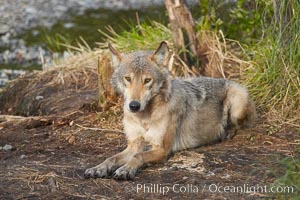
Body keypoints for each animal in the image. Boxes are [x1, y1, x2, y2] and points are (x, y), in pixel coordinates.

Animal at [84, 41, 255, 180]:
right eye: (128, 78)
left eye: (147, 80)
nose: (134, 106)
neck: (144, 118)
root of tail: (229, 79)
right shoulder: (133, 145)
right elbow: (112, 158)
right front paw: (98, 168)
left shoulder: (162, 149)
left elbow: (138, 157)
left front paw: (125, 170)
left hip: (237, 104)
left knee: (239, 124)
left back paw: (226, 132)